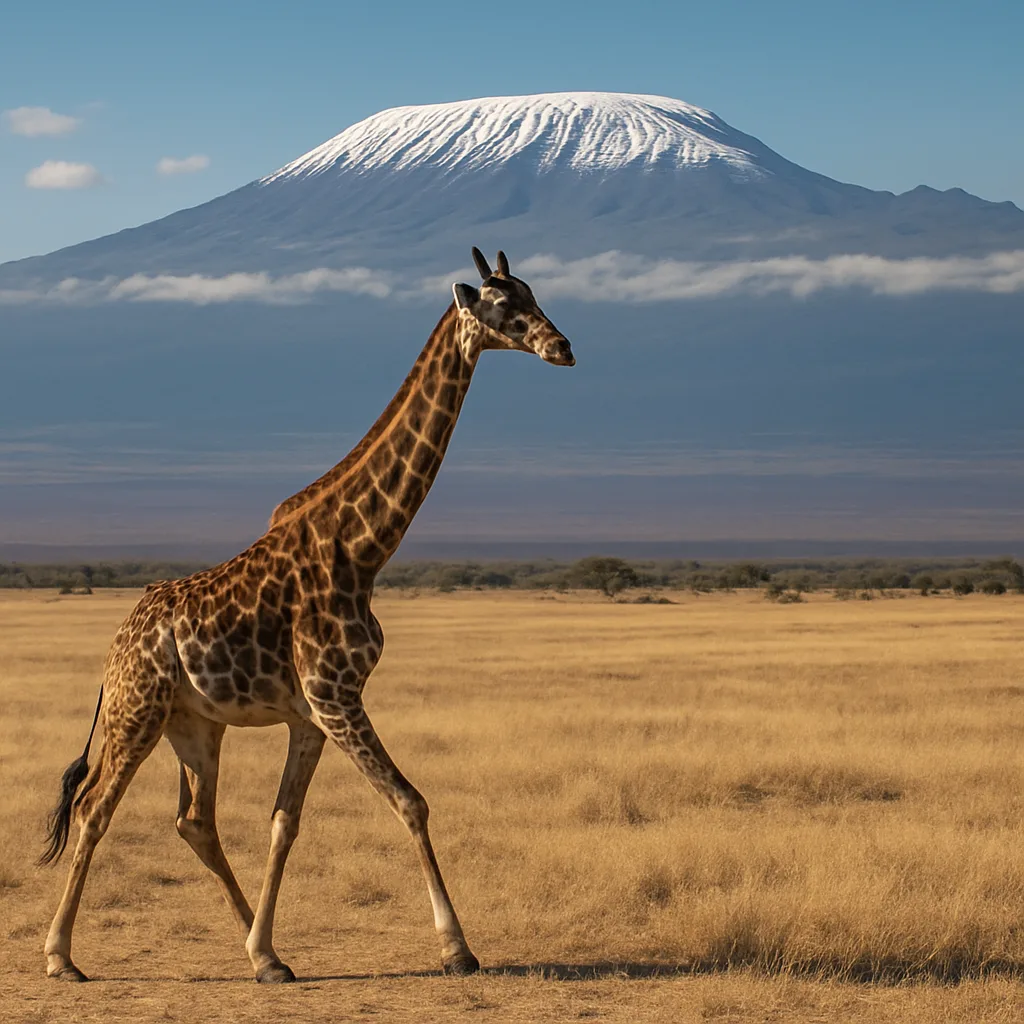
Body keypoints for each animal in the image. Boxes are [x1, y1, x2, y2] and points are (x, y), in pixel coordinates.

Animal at [39, 247, 575, 984]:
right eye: (500, 305)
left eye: (533, 292)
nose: (563, 347)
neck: (363, 546)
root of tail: (115, 648)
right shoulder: (335, 696)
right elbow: (410, 799)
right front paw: (457, 949)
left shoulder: (311, 715)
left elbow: (283, 822)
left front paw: (265, 952)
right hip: (136, 710)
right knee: (95, 809)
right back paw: (61, 956)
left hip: (194, 726)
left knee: (194, 821)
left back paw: (252, 946)